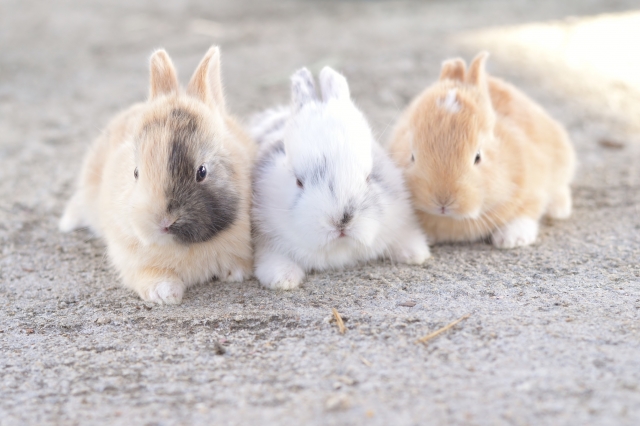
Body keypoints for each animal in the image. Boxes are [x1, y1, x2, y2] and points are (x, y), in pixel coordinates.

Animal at [388, 52, 576, 250]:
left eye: (477, 157)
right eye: (412, 156)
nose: (443, 202)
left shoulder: (533, 190)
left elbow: (526, 213)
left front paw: (511, 240)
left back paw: (559, 210)